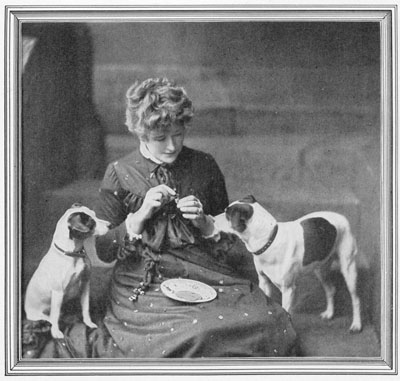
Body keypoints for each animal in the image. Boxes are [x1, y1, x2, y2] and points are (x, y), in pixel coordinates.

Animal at [24, 203, 110, 336]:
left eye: (95, 215)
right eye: (91, 221)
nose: (109, 225)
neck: (74, 254)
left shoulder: (85, 284)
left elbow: (85, 307)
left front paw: (89, 323)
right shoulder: (58, 293)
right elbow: (55, 315)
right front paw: (56, 333)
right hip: (40, 314)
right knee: (51, 318)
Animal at [216, 194, 362, 332]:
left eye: (226, 214)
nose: (211, 218)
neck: (269, 240)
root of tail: (341, 217)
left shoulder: (288, 290)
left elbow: (286, 312)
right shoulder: (264, 282)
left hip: (348, 269)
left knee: (355, 299)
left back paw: (356, 324)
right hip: (321, 269)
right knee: (331, 289)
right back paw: (329, 313)